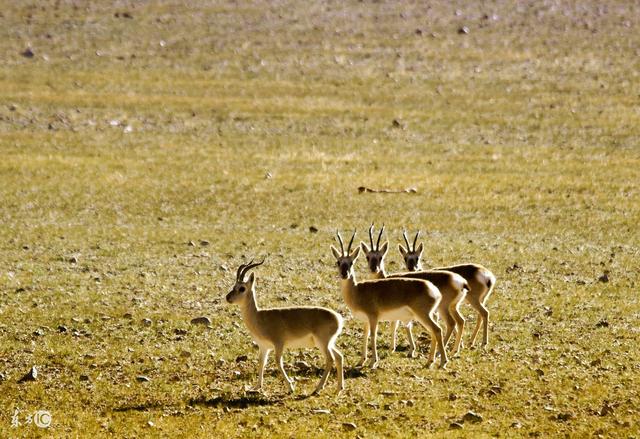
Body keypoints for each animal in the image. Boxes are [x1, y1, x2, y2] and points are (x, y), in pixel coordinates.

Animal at [226, 260, 344, 398]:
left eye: (242, 288)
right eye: (234, 285)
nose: (228, 298)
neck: (259, 317)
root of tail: (338, 318)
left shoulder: (279, 344)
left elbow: (278, 362)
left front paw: (290, 387)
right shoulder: (264, 347)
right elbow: (261, 363)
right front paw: (256, 387)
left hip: (322, 343)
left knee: (330, 359)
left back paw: (317, 389)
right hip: (328, 343)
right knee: (339, 357)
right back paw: (339, 389)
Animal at [330, 232, 444, 370]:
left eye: (351, 262)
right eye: (338, 261)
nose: (344, 274)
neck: (357, 291)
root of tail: (434, 289)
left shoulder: (373, 317)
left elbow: (373, 336)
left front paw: (373, 362)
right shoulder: (365, 320)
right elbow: (365, 336)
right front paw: (361, 361)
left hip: (423, 315)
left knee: (437, 330)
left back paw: (442, 362)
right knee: (434, 331)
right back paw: (429, 362)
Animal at [360, 225, 470, 356]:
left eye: (380, 257)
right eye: (368, 257)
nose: (373, 269)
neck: (385, 278)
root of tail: (460, 281)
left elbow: (395, 325)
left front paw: (394, 348)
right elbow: (404, 325)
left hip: (443, 307)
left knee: (451, 323)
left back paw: (439, 352)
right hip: (452, 307)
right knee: (460, 321)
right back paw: (455, 350)